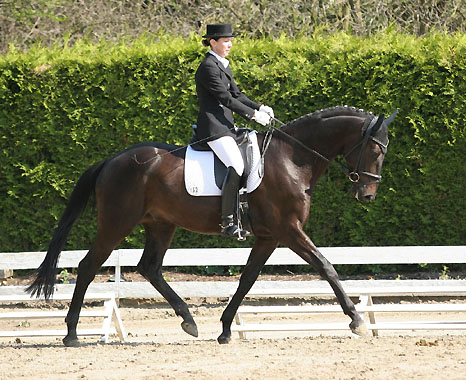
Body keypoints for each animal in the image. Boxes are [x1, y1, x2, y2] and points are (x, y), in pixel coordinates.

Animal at [26, 105, 396, 346]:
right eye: (376, 150)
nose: (367, 195)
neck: (293, 159)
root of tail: (111, 160)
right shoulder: (288, 230)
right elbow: (325, 266)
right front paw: (356, 320)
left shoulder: (268, 236)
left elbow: (247, 279)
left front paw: (226, 329)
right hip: (117, 223)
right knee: (88, 266)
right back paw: (71, 334)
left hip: (161, 225)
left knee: (149, 268)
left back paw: (188, 321)